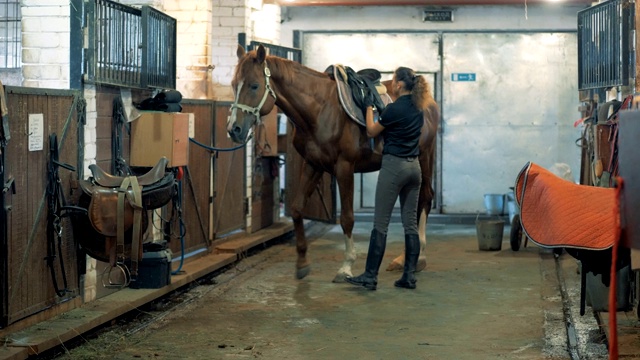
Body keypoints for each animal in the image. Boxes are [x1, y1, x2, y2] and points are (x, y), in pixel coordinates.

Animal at [229, 44, 440, 282]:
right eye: (233, 85)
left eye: (254, 85)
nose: (234, 129)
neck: (320, 109)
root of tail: (428, 102)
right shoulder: (313, 165)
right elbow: (297, 209)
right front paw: (302, 263)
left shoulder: (344, 167)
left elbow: (347, 218)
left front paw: (346, 267)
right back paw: (404, 260)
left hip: (424, 158)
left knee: (425, 198)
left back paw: (419, 259)